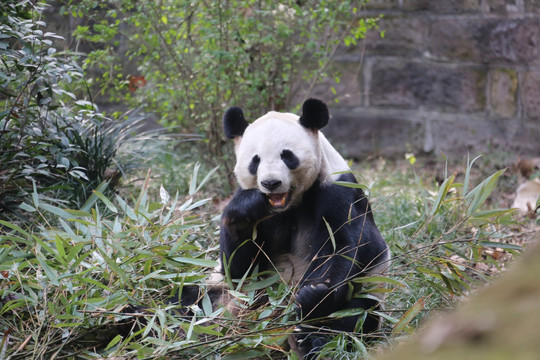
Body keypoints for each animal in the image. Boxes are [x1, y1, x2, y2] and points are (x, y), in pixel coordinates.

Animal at [217, 97, 390, 358]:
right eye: (255, 161)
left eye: (287, 156)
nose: (271, 183)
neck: (290, 205)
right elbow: (240, 270)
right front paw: (247, 207)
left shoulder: (339, 191)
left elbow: (348, 246)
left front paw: (312, 294)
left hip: (369, 297)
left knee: (354, 316)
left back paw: (310, 339)